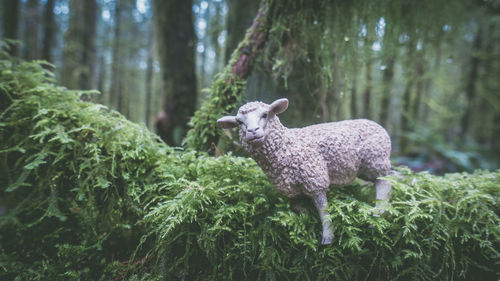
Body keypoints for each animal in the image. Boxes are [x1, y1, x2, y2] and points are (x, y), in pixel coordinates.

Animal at [217, 98, 392, 243]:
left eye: (265, 114)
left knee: (384, 181)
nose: (253, 131)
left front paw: (328, 237)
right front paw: (303, 222)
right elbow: (297, 207)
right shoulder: (290, 187)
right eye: (239, 122)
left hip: (375, 160)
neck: (286, 146)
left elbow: (323, 210)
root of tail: (380, 128)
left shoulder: (315, 178)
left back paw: (377, 214)